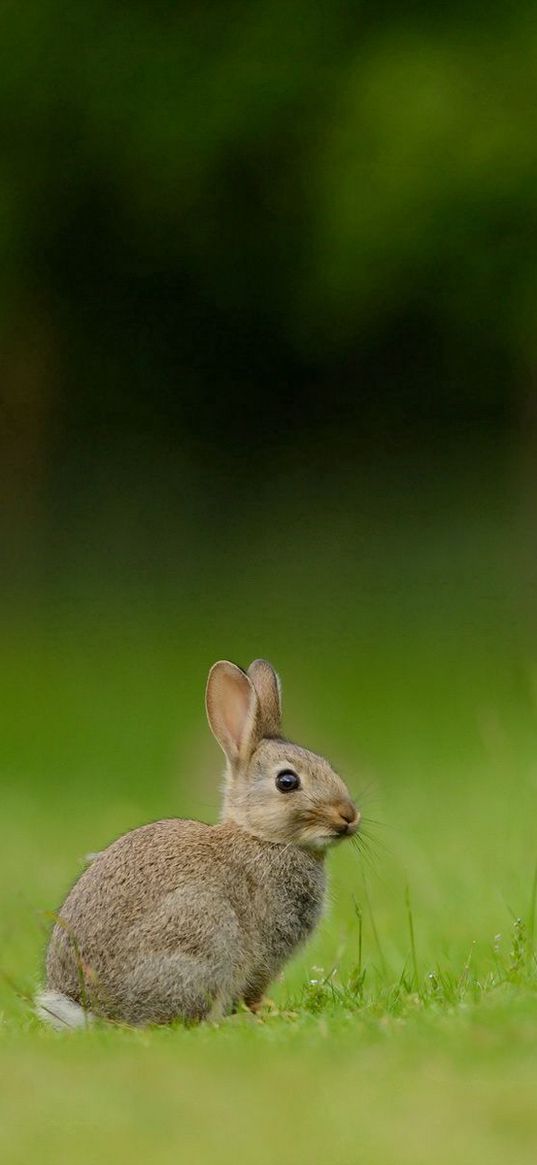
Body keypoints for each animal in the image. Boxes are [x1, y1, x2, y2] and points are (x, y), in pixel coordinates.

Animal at [35, 657, 358, 1029]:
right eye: (287, 781)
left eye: (327, 766)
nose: (349, 816)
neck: (260, 836)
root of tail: (95, 1010)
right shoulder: (264, 954)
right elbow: (254, 989)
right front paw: (267, 1014)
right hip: (205, 934)